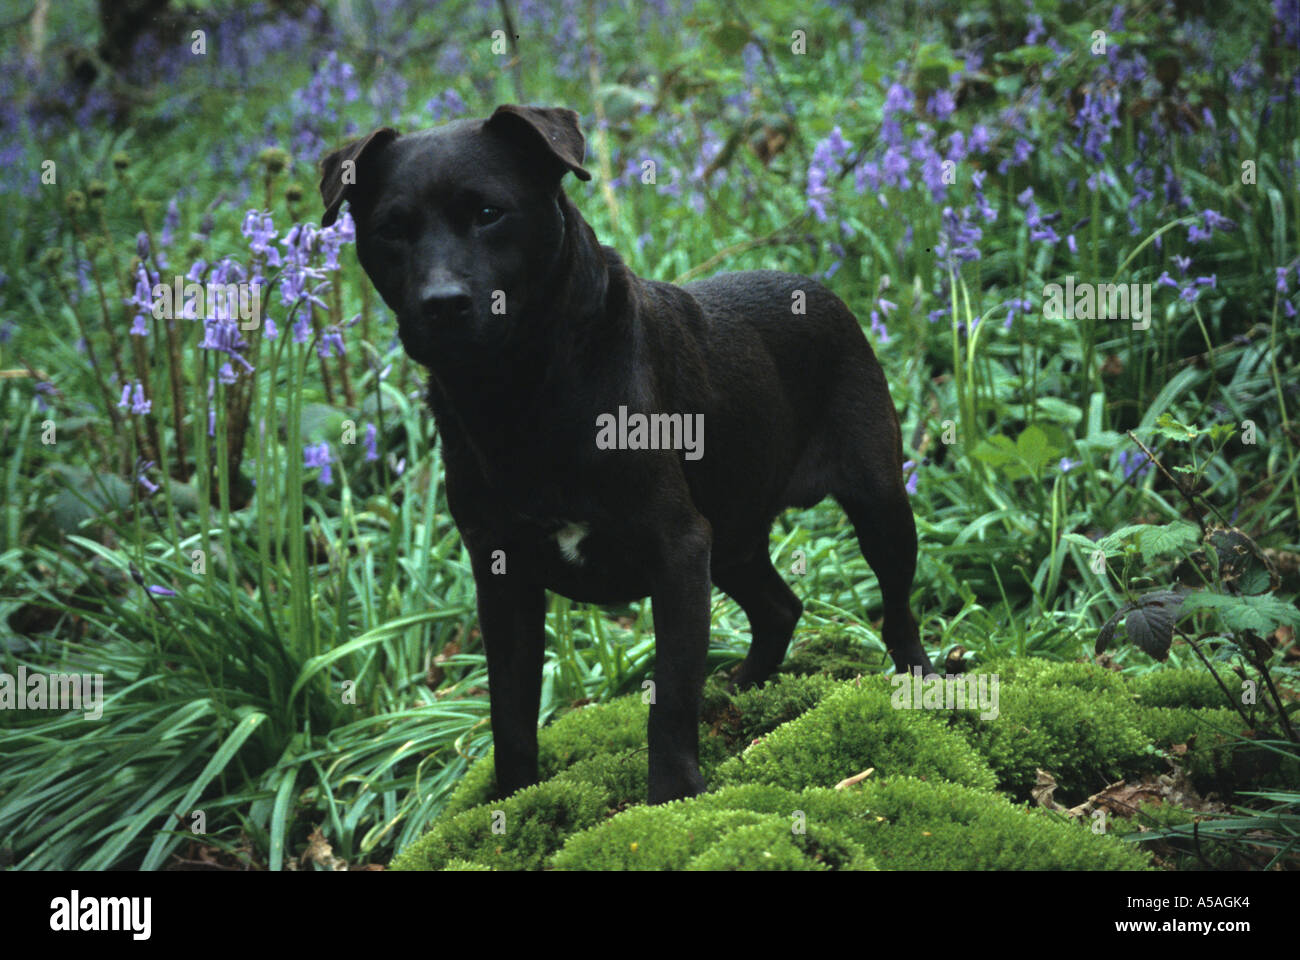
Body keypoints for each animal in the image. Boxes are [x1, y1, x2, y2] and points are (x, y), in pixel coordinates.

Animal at [323, 104, 935, 801]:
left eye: (488, 212)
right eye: (391, 230)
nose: (442, 304)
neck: (520, 388)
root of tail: (824, 291)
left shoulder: (677, 549)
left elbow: (668, 695)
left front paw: (670, 797)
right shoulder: (502, 572)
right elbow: (510, 709)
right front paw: (511, 800)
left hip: (878, 504)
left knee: (896, 608)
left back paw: (919, 682)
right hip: (733, 538)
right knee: (780, 607)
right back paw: (741, 687)